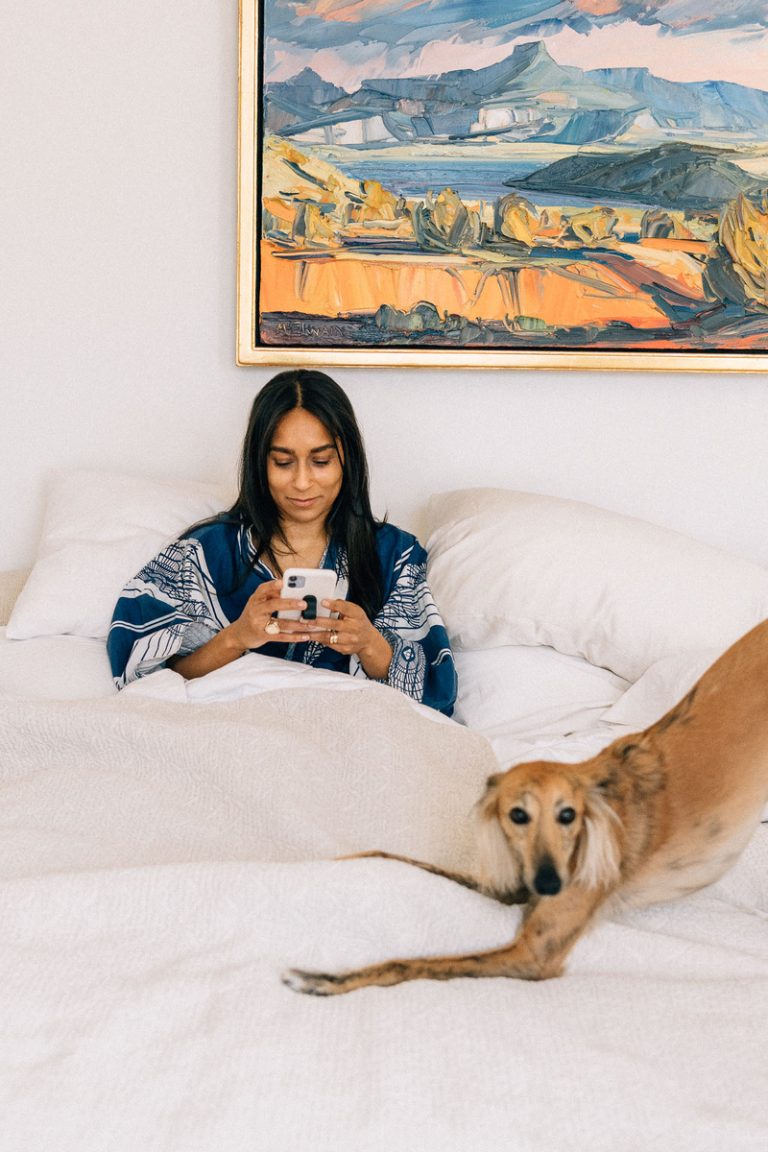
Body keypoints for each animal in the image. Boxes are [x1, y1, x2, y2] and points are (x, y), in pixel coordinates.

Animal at [284, 617, 768, 995]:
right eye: (517, 815)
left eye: (567, 815)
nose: (551, 884)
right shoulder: (510, 886)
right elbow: (391, 855)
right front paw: (337, 860)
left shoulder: (534, 954)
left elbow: (411, 962)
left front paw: (328, 980)